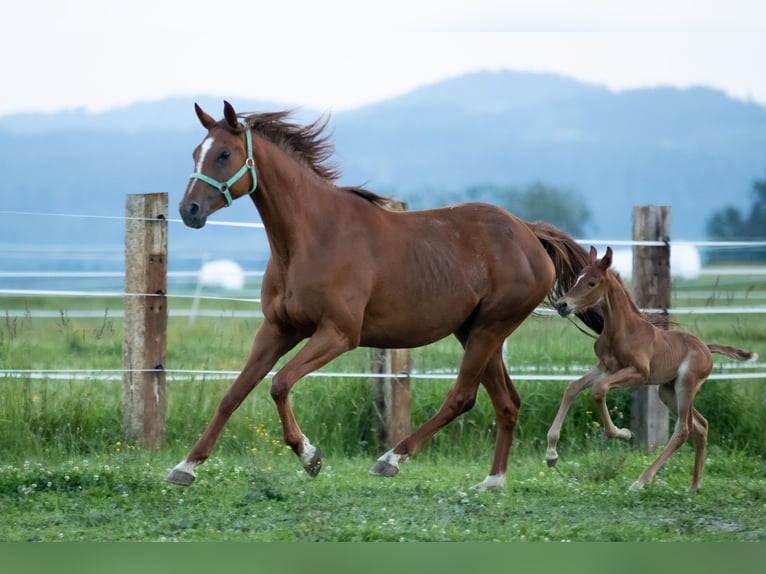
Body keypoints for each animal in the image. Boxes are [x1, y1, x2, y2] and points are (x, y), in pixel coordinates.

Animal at [171, 100, 604, 490]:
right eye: (195, 153)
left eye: (224, 154)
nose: (189, 210)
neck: (310, 238)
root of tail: (529, 233)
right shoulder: (277, 330)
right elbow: (233, 393)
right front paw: (185, 467)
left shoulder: (339, 334)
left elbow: (279, 383)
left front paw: (309, 455)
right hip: (475, 330)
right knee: (506, 401)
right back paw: (492, 481)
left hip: (489, 329)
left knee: (463, 396)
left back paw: (391, 458)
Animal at [544, 245, 756, 492]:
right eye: (577, 278)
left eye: (591, 283)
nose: (562, 305)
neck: (622, 329)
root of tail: (706, 347)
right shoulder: (605, 368)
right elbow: (572, 387)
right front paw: (551, 455)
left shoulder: (638, 373)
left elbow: (598, 389)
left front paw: (624, 433)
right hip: (667, 390)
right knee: (700, 425)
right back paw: (694, 486)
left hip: (686, 384)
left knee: (683, 430)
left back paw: (641, 480)